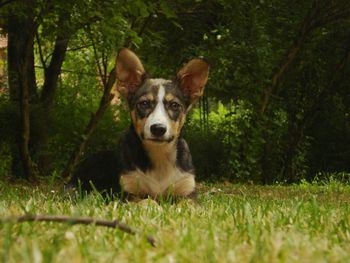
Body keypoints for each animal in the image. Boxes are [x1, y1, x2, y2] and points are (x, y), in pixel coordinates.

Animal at [69, 48, 209, 201]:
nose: (158, 129)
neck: (159, 156)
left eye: (174, 105)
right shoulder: (127, 193)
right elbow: (147, 201)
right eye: (144, 103)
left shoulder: (188, 193)